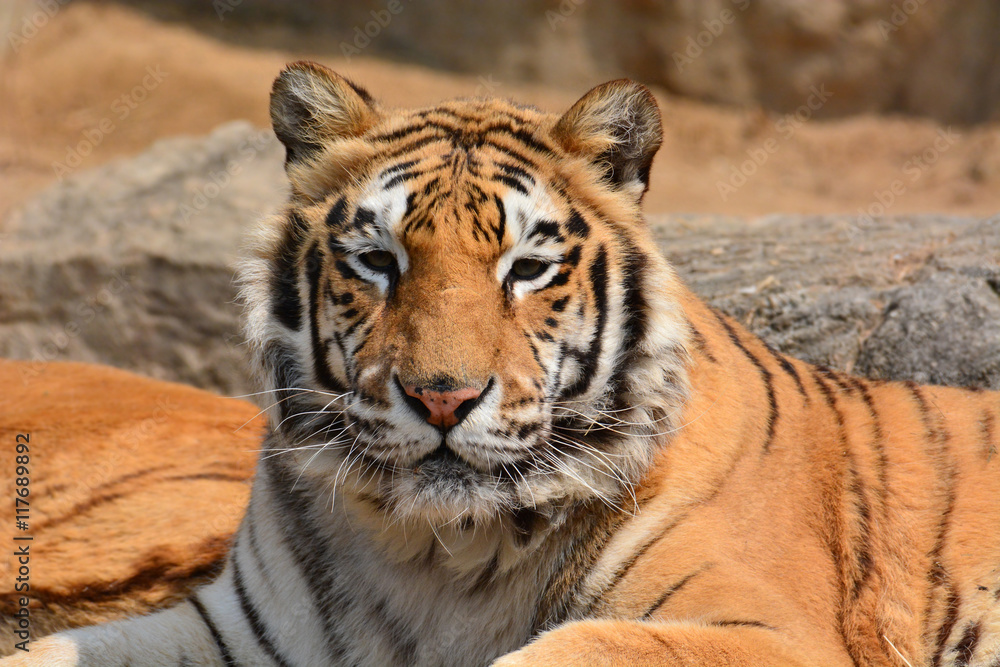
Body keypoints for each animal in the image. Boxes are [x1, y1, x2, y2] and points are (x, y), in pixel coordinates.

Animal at [5, 60, 999, 666]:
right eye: (379, 260)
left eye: (525, 269)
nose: (442, 398)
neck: (437, 551)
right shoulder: (232, 627)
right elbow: (44, 648)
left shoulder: (764, 630)